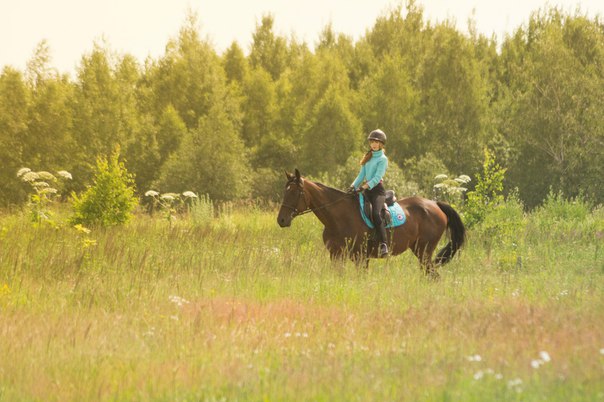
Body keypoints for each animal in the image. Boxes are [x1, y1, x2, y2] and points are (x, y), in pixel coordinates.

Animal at [278, 169, 468, 276]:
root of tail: (435, 204)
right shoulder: (336, 255)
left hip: (425, 251)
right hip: (419, 250)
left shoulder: (360, 256)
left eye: (295, 192)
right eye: (285, 191)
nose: (281, 220)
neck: (338, 217)